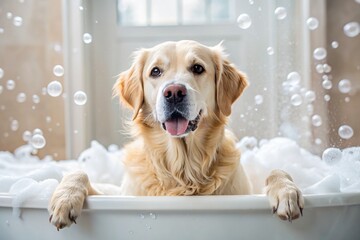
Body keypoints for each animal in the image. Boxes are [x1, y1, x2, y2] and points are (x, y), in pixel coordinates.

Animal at [48, 40, 304, 231]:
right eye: (155, 71)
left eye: (198, 68)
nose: (173, 92)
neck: (183, 170)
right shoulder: (120, 193)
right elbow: (78, 172)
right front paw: (64, 199)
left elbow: (276, 171)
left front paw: (287, 192)